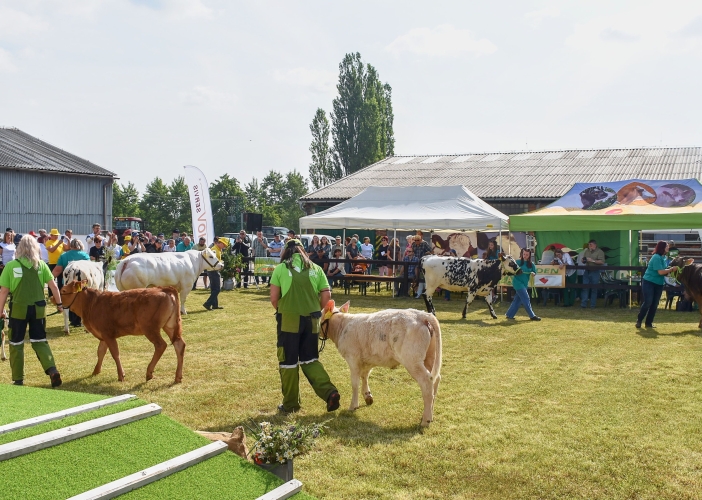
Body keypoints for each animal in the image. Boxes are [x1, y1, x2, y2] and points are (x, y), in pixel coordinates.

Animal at [322, 298, 442, 428]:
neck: (342, 327)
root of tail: (422, 315)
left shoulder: (352, 358)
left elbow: (355, 383)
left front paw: (353, 406)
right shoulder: (367, 359)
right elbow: (365, 376)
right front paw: (367, 396)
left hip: (412, 360)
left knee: (426, 381)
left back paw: (426, 420)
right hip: (430, 356)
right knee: (435, 379)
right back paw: (429, 415)